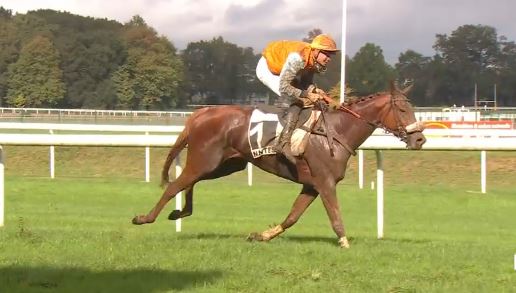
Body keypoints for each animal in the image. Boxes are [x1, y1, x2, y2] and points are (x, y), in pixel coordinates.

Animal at [131, 83, 426, 248]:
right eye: (402, 110)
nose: (420, 139)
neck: (336, 131)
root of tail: (201, 112)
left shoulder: (312, 185)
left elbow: (292, 217)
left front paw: (261, 236)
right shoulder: (325, 182)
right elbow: (335, 216)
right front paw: (345, 244)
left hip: (224, 165)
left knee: (189, 182)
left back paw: (180, 212)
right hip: (206, 160)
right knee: (175, 185)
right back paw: (145, 217)